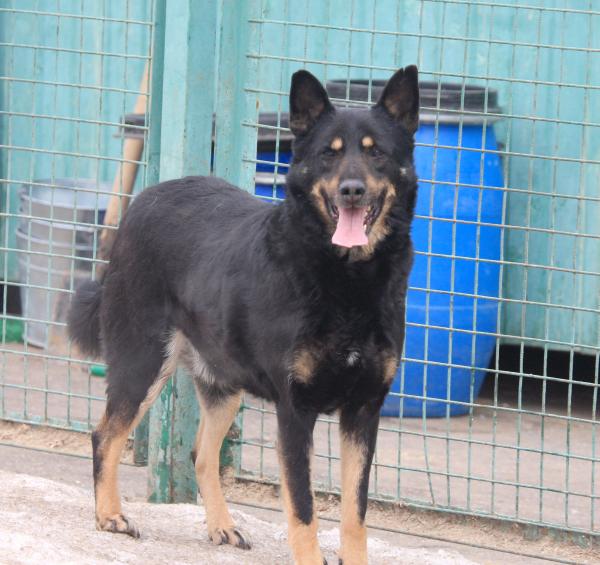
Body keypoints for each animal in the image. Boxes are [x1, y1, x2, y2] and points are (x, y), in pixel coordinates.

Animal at [68, 65, 419, 564]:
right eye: (328, 156)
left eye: (377, 154)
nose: (351, 191)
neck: (347, 278)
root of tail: (144, 198)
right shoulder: (296, 411)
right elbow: (304, 510)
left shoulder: (363, 411)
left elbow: (355, 514)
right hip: (143, 364)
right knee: (105, 436)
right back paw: (110, 516)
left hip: (222, 382)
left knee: (200, 454)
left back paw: (221, 525)